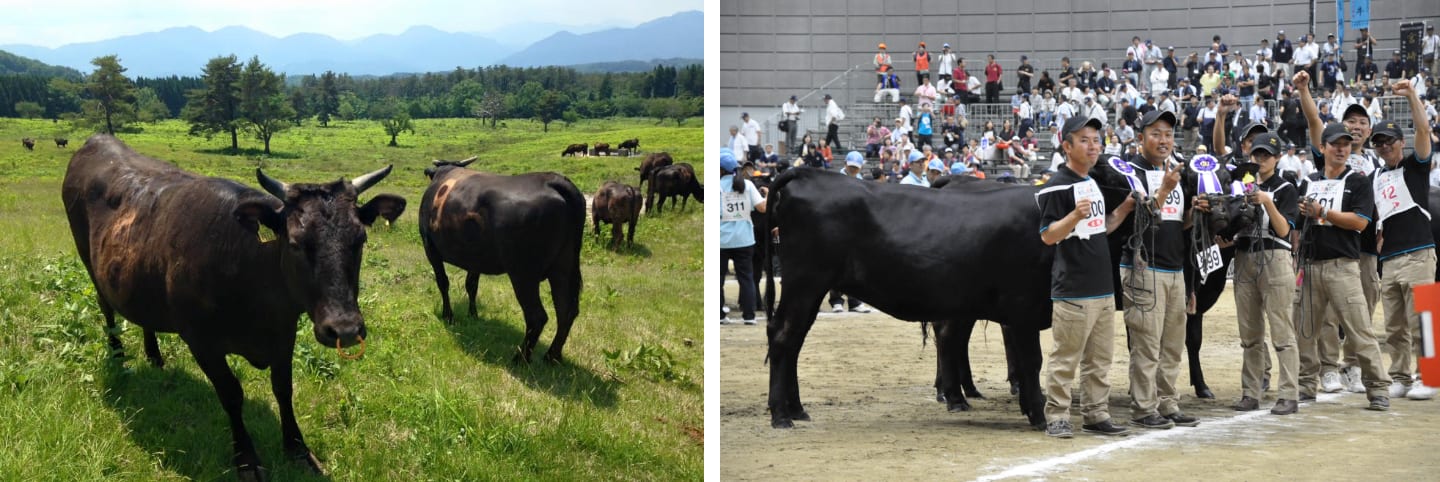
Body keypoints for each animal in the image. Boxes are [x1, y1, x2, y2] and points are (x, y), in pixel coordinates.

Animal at [59, 133, 403, 480]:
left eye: (360, 240)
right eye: (295, 244)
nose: (344, 329)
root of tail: (98, 139)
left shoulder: (284, 334)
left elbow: (283, 388)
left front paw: (296, 448)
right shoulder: (201, 342)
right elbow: (231, 395)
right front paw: (246, 457)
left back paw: (155, 357)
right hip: (89, 263)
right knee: (106, 309)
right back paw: (118, 355)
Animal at [417, 157, 584, 362]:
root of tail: (552, 180)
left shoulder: (430, 247)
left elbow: (443, 282)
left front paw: (448, 316)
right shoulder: (475, 257)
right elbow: (471, 285)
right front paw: (473, 315)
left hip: (523, 273)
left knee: (537, 316)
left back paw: (520, 358)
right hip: (564, 267)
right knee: (565, 310)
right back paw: (552, 356)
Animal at [760, 166, 1140, 431]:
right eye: (1112, 175)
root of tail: (805, 173)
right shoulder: (1022, 307)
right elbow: (1031, 362)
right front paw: (1038, 415)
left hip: (812, 289)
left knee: (794, 341)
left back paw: (796, 408)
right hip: (805, 282)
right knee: (783, 337)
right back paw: (781, 414)